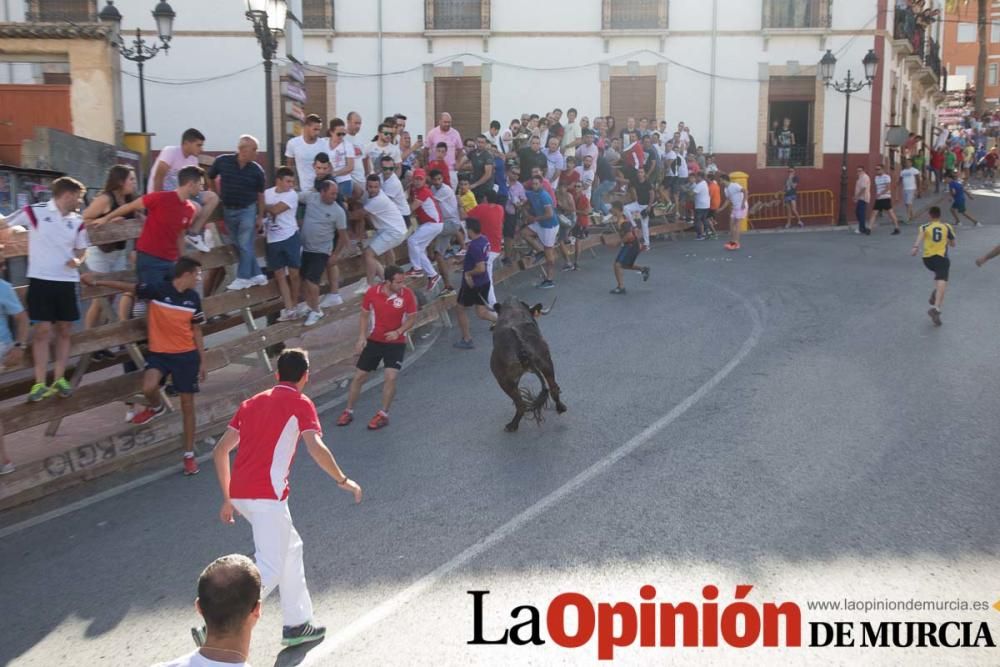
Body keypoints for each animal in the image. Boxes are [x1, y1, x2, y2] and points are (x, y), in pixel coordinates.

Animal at [488, 294, 568, 430]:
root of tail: (521, 347)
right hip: (546, 363)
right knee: (553, 388)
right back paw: (560, 408)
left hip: (503, 379)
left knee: (521, 404)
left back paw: (512, 425)